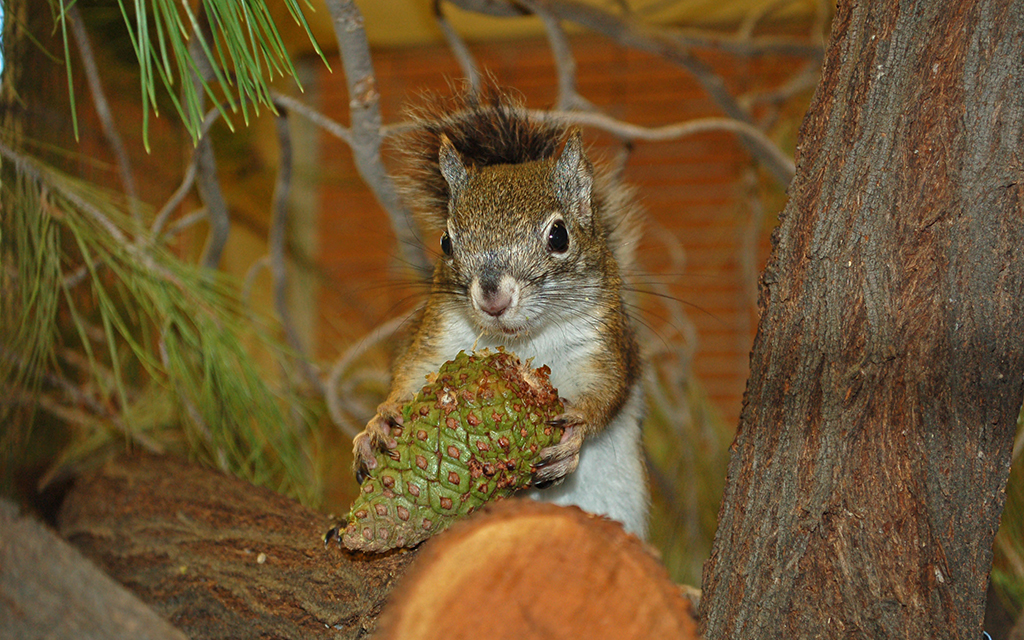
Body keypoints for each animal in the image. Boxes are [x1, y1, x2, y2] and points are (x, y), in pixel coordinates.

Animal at [352, 86, 649, 538]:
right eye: (446, 241)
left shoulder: (601, 340)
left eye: (559, 236)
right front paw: (378, 423)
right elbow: (410, 375)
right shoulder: (439, 334)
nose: (493, 298)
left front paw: (576, 433)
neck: (523, 341)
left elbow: (607, 390)